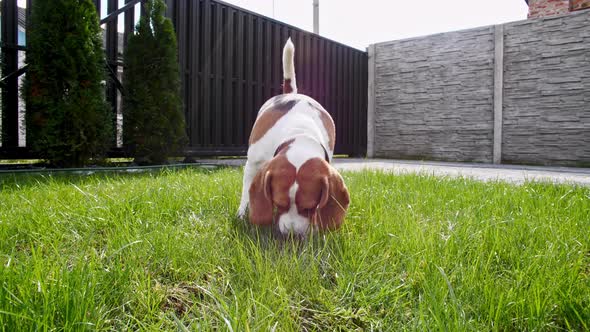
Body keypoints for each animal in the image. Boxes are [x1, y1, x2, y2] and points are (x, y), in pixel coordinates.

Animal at [238, 38, 352, 236]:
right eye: (278, 203)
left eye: (310, 207)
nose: (291, 234)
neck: (300, 133)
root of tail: (292, 94)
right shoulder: (253, 163)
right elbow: (246, 190)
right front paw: (243, 213)